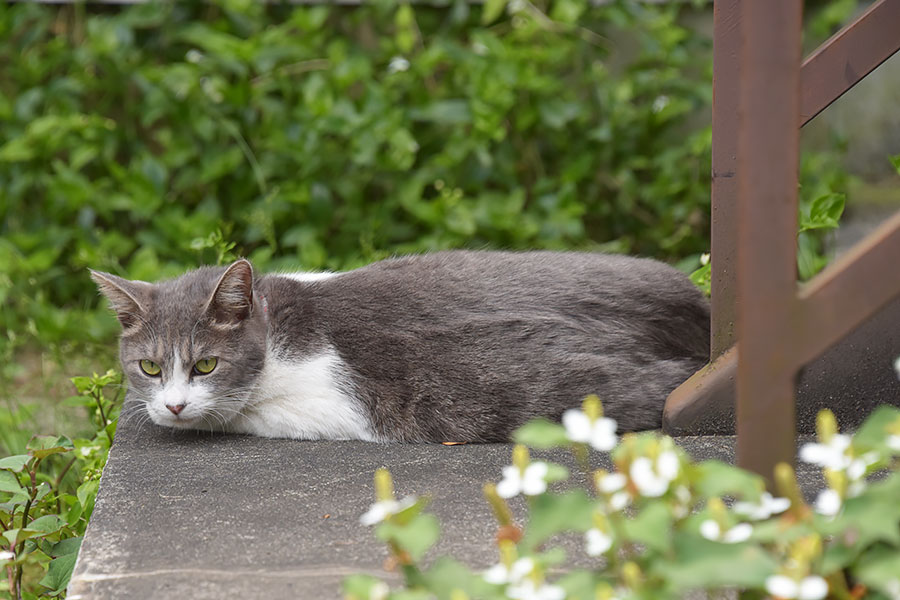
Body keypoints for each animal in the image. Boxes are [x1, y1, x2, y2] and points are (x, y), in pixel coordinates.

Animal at [91, 251, 712, 442]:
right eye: (148, 366)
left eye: (205, 364)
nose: (173, 404)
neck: (276, 324)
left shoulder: (334, 403)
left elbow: (237, 414)